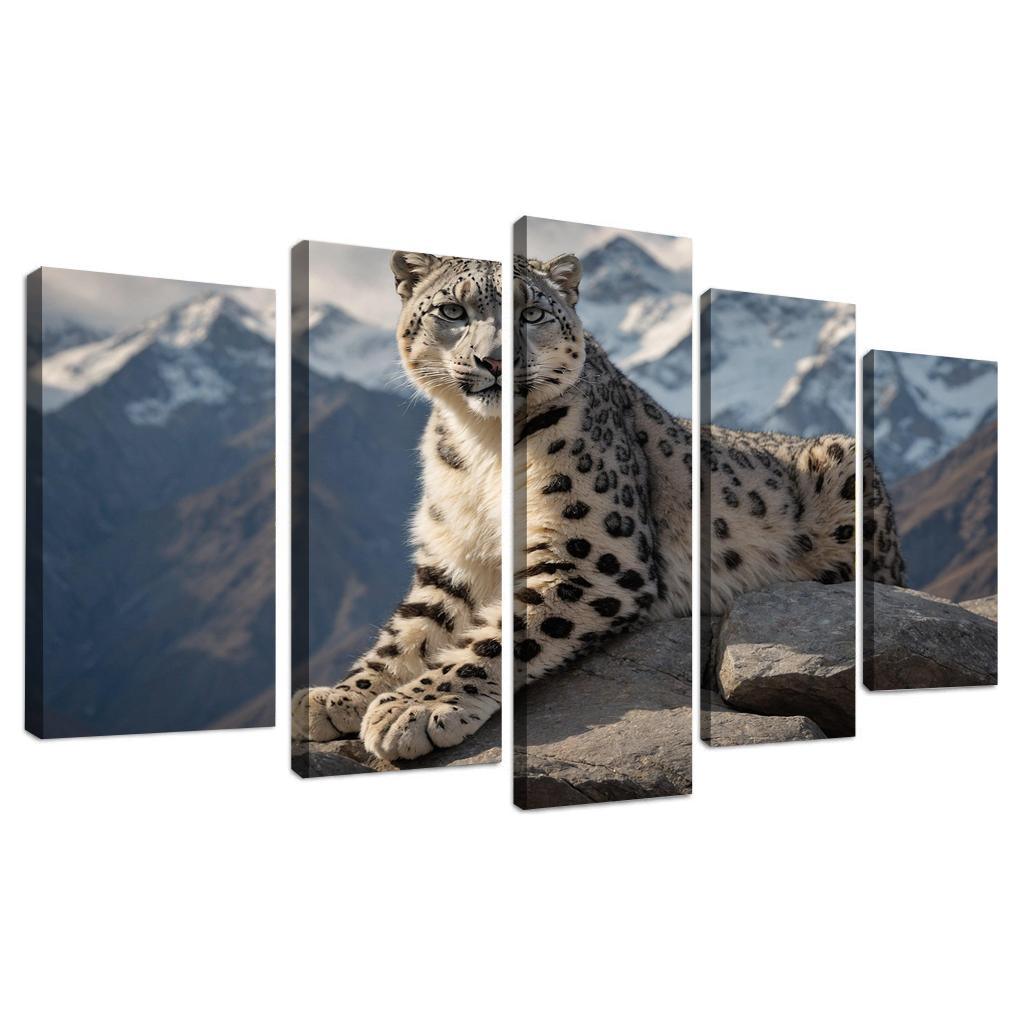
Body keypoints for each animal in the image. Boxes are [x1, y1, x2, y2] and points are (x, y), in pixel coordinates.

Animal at [292, 248, 904, 761]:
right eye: (451, 310)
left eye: (532, 313)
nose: (494, 360)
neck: (482, 444)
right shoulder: (452, 560)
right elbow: (408, 633)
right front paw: (336, 697)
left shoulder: (590, 556)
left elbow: (498, 637)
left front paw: (413, 708)